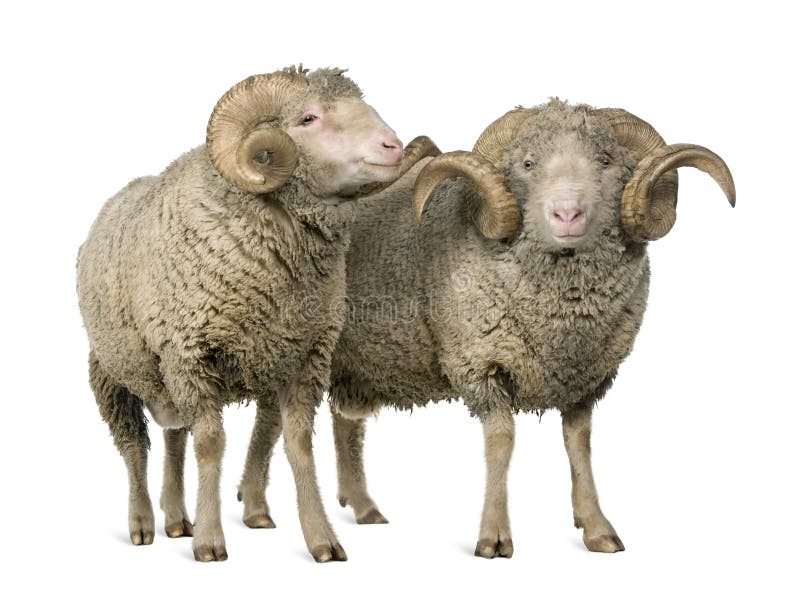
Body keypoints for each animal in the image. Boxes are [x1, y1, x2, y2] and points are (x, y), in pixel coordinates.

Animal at [76, 65, 438, 564]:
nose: (393, 146)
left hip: (169, 374)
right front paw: (210, 542)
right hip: (112, 369)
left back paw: (177, 518)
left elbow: (299, 445)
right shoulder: (191, 353)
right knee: (133, 446)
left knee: (173, 435)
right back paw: (143, 522)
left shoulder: (303, 356)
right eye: (308, 118)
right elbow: (211, 445)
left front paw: (322, 539)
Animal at [234, 99, 736, 556]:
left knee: (346, 421)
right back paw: (256, 506)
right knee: (271, 420)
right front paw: (494, 537)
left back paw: (362, 505)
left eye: (607, 162)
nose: (567, 215)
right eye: (528, 164)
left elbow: (580, 446)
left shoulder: (586, 377)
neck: (562, 317)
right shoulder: (480, 363)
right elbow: (501, 442)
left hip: (359, 360)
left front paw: (597, 528)